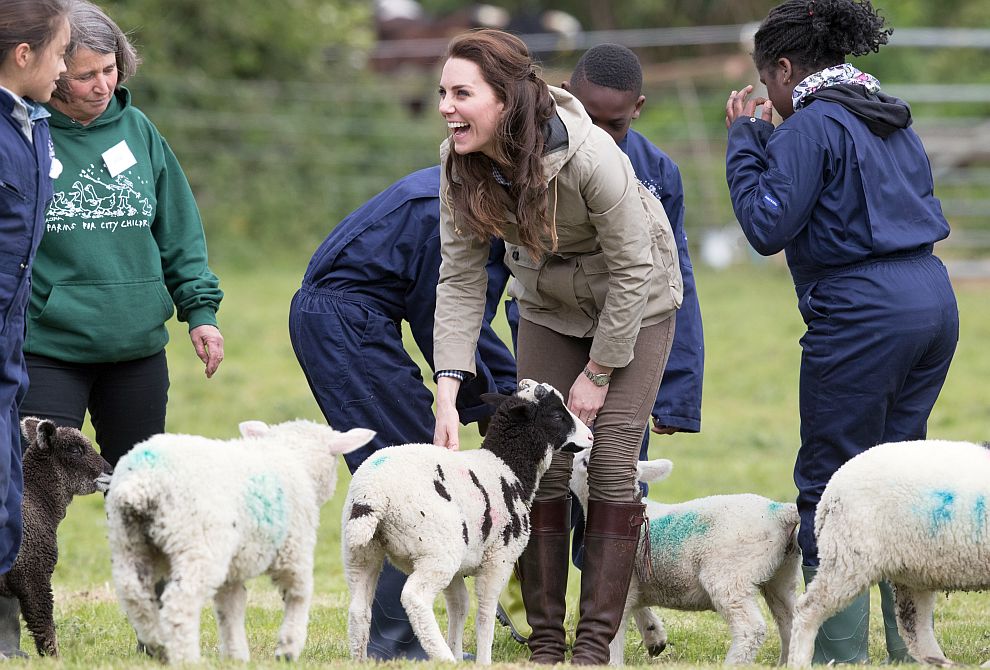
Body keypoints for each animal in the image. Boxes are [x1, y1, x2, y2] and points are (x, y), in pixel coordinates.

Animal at [0, 420, 111, 656]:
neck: (38, 502)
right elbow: (44, 625)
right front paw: (54, 658)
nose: (110, 471)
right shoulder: (33, 572)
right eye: (74, 449)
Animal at [104, 420, 376, 668]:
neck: (291, 457)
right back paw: (186, 658)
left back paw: (158, 644)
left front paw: (236, 656)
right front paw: (287, 649)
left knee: (133, 595)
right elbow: (298, 594)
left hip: (127, 541)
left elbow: (231, 607)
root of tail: (141, 484)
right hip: (198, 544)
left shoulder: (233, 569)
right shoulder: (294, 549)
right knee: (181, 603)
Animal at [344, 380, 592, 664]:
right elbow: (484, 612)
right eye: (557, 415)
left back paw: (361, 660)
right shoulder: (498, 559)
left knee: (358, 609)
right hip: (438, 551)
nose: (590, 436)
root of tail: (372, 493)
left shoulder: (460, 568)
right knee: (414, 597)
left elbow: (459, 606)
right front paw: (481, 660)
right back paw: (442, 657)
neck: (509, 466)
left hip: (361, 551)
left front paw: (459, 652)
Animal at [568, 448, 804, 664]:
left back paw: (734, 663)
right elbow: (637, 606)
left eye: (585, 461)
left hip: (730, 575)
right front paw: (654, 635)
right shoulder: (635, 581)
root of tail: (780, 512)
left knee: (751, 628)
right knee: (790, 618)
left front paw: (612, 661)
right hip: (781, 574)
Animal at [796, 440, 990, 668]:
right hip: (850, 554)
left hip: (915, 571)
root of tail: (830, 492)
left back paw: (941, 662)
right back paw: (798, 661)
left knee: (914, 628)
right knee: (808, 608)